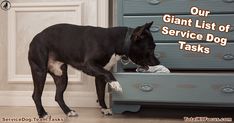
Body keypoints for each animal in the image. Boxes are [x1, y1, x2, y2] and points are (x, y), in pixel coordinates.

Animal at [27, 21, 159, 118]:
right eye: (151, 48)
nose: (158, 62)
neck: (116, 41)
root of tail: (34, 39)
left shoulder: (99, 75)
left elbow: (100, 93)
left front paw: (105, 109)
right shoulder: (89, 65)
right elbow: (108, 74)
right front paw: (116, 84)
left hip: (61, 76)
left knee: (58, 96)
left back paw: (68, 111)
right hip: (40, 71)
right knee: (36, 95)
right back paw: (42, 114)